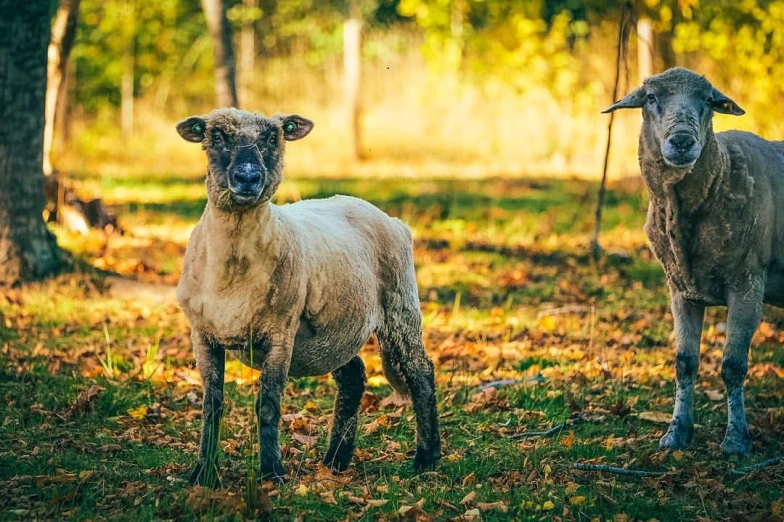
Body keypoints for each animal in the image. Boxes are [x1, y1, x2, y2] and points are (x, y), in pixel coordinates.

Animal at [175, 107, 440, 486]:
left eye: (273, 137)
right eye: (217, 136)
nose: (247, 178)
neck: (233, 272)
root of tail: (394, 220)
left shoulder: (280, 333)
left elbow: (268, 404)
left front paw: (272, 473)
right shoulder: (202, 334)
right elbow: (212, 405)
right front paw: (202, 474)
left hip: (400, 305)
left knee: (420, 372)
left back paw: (425, 457)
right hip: (337, 329)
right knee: (353, 377)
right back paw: (336, 460)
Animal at [604, 67, 780, 452]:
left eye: (708, 100)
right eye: (651, 97)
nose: (683, 141)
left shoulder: (748, 283)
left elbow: (732, 367)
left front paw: (735, 440)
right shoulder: (681, 290)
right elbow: (684, 363)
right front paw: (676, 433)